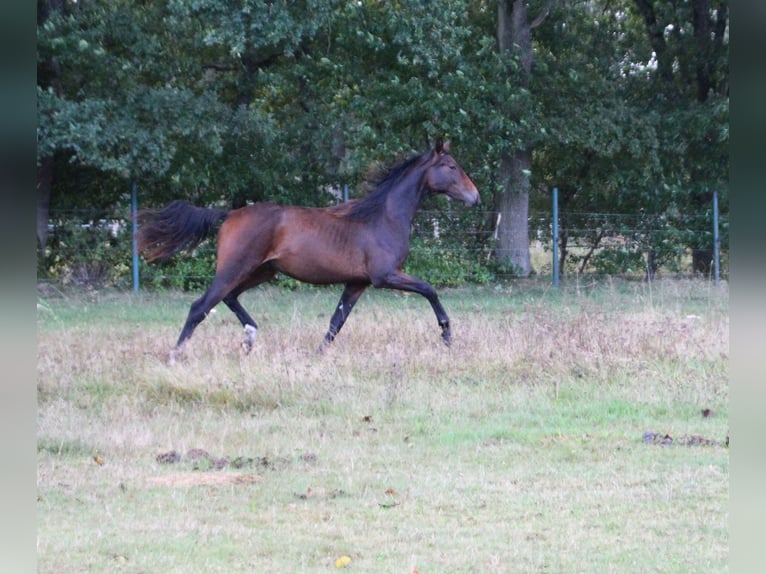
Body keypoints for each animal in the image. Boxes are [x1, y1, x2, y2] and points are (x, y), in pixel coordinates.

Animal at [135, 140, 476, 360]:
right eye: (450, 166)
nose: (476, 197)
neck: (384, 217)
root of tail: (229, 214)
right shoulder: (386, 276)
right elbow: (430, 289)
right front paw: (447, 335)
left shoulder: (357, 283)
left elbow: (336, 321)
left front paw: (318, 354)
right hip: (235, 268)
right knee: (200, 306)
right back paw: (176, 354)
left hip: (262, 271)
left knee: (230, 298)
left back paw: (250, 337)